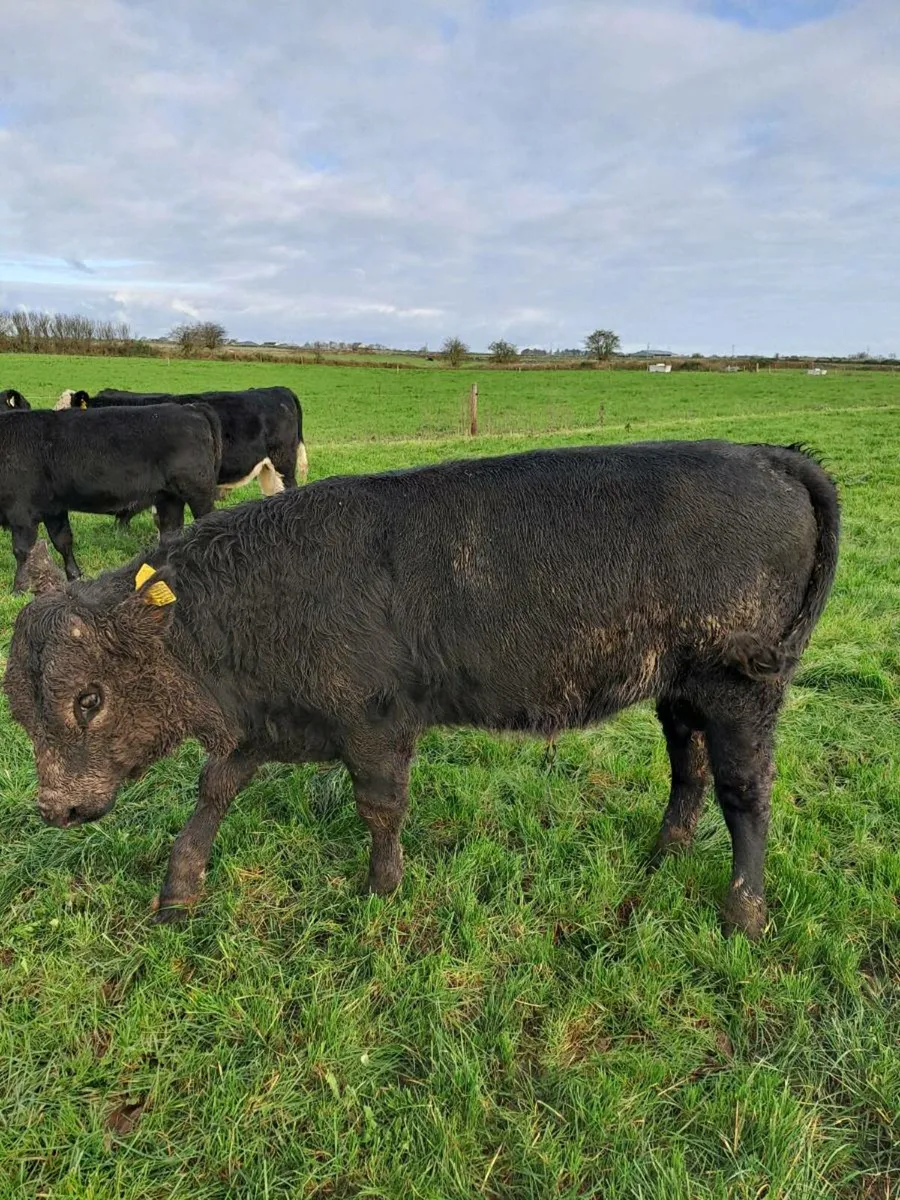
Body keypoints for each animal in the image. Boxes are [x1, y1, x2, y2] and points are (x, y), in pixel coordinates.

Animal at [0, 404, 222, 590]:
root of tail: (190, 408)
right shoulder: (54, 509)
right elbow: (63, 542)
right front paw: (74, 576)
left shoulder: (21, 511)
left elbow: (21, 550)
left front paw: (18, 588)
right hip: (169, 498)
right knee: (170, 534)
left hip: (198, 492)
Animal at [4, 440, 839, 939]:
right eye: (21, 711)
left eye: (89, 699)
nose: (55, 807)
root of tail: (769, 457)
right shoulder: (265, 722)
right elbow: (213, 791)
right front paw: (179, 892)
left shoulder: (375, 724)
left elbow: (380, 807)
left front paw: (381, 891)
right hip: (681, 687)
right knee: (687, 764)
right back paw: (663, 852)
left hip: (740, 687)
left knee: (746, 789)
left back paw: (743, 911)